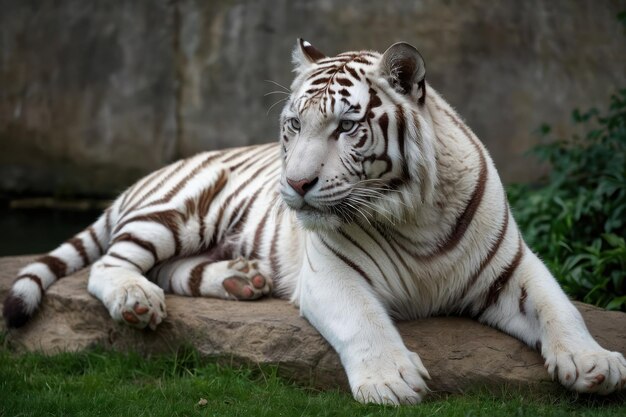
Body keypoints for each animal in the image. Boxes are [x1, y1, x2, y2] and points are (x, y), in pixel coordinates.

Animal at [2, 39, 620, 404]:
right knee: (110, 266)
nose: (296, 185)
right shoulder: (331, 274)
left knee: (169, 269)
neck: (415, 213)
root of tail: (147, 176)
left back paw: (241, 280)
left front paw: (594, 363)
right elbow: (364, 321)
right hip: (179, 210)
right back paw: (138, 302)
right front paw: (392, 380)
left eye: (347, 127)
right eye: (294, 125)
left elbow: (558, 307)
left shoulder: (512, 266)